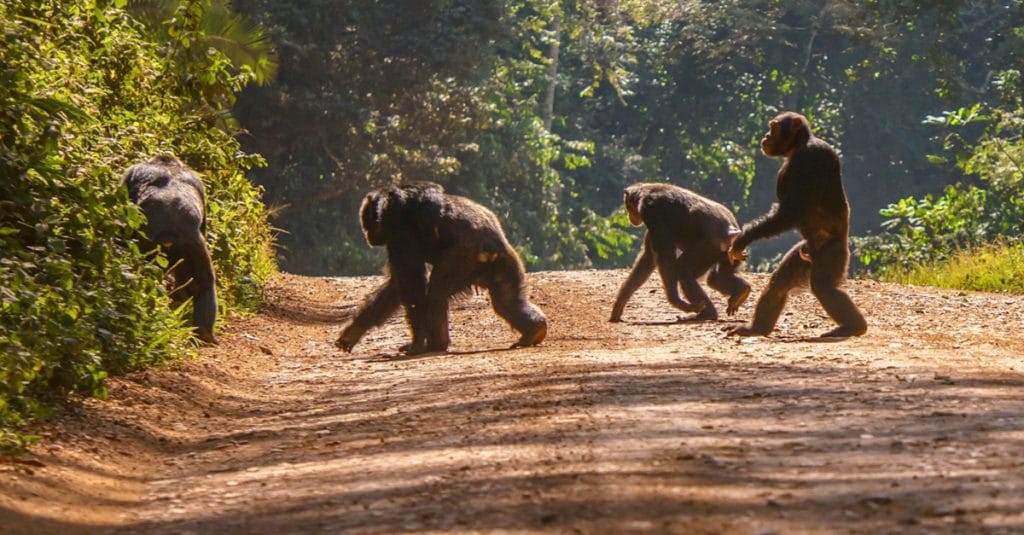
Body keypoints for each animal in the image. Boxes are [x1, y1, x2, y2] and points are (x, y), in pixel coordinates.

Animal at [333, 181, 544, 352]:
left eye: (367, 222)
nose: (367, 234)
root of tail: (492, 246)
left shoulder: (397, 228)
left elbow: (411, 281)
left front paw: (417, 343)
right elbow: (395, 285)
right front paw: (354, 331)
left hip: (462, 257)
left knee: (436, 293)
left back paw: (436, 344)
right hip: (504, 263)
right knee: (506, 302)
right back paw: (535, 330)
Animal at [606, 182, 753, 319]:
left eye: (627, 206)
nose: (629, 215)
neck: (643, 194)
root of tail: (731, 231)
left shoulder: (651, 211)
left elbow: (665, 253)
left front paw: (676, 300)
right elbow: (648, 257)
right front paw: (619, 305)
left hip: (707, 248)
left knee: (683, 270)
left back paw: (707, 313)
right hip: (731, 253)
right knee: (716, 278)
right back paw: (741, 291)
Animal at [729, 111, 864, 338]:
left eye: (773, 127)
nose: (766, 136)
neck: (798, 147)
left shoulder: (811, 158)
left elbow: (791, 210)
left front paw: (743, 238)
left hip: (832, 252)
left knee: (824, 287)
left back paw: (854, 327)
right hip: (803, 253)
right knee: (779, 284)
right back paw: (756, 328)